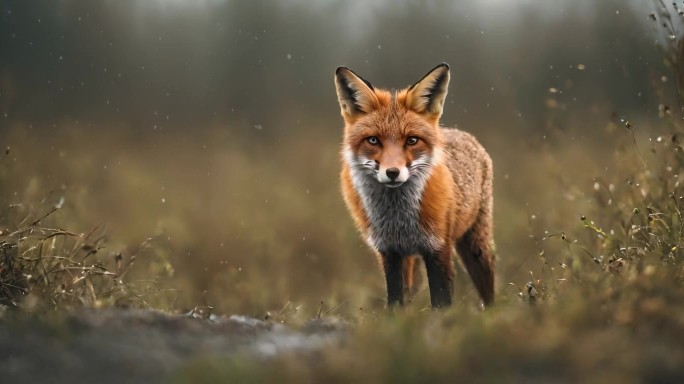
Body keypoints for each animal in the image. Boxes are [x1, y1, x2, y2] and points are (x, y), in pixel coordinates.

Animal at [334, 63, 494, 308]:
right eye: (373, 140)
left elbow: (441, 302)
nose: (392, 172)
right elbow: (395, 301)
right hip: (411, 260)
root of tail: (459, 132)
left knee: (488, 288)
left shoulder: (438, 248)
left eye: (411, 140)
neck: (398, 219)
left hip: (476, 245)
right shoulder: (389, 252)